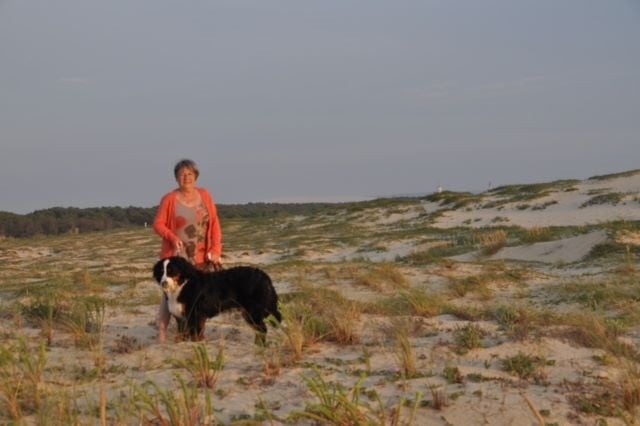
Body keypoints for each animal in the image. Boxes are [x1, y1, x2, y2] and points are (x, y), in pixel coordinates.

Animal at [152, 256, 282, 343]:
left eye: (171, 271)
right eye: (161, 272)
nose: (163, 282)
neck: (181, 285)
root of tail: (264, 275)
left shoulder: (194, 315)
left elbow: (194, 335)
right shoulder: (181, 318)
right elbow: (182, 335)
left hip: (253, 311)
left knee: (262, 329)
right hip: (247, 312)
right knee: (259, 329)